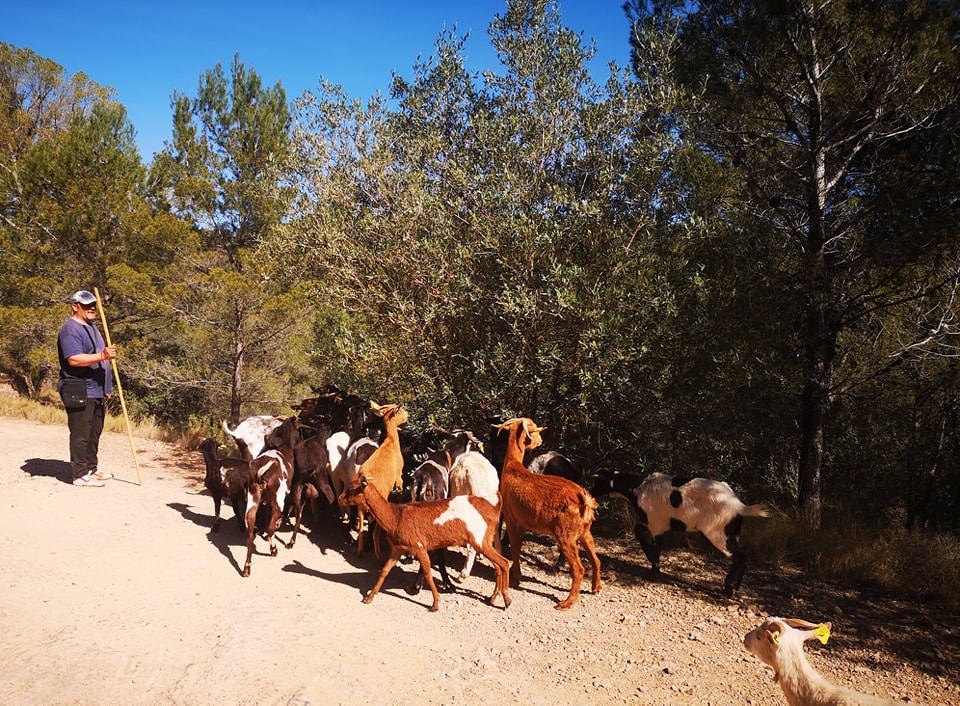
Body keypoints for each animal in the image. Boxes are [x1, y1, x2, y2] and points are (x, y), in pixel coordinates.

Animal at [342, 472, 512, 612]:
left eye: (352, 488)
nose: (339, 498)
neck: (396, 516)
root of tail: (494, 509)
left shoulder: (419, 546)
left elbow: (428, 572)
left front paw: (435, 604)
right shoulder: (398, 548)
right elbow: (385, 570)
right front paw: (369, 597)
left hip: (479, 539)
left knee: (504, 563)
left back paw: (507, 600)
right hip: (485, 540)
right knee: (498, 566)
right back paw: (493, 597)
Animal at [496, 416, 600, 608]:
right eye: (534, 428)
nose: (540, 441)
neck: (513, 467)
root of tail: (584, 500)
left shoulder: (512, 518)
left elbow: (514, 546)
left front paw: (516, 578)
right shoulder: (522, 521)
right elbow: (517, 546)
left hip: (565, 534)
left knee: (579, 568)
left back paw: (566, 602)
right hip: (584, 532)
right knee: (595, 559)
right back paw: (596, 588)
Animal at [592, 468, 772, 592]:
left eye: (597, 482)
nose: (590, 492)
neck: (638, 487)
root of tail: (740, 506)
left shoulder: (655, 523)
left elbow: (651, 544)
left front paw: (653, 572)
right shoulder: (659, 524)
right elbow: (646, 537)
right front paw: (654, 569)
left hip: (716, 532)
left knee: (739, 556)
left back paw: (729, 588)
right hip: (732, 533)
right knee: (743, 555)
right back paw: (735, 587)